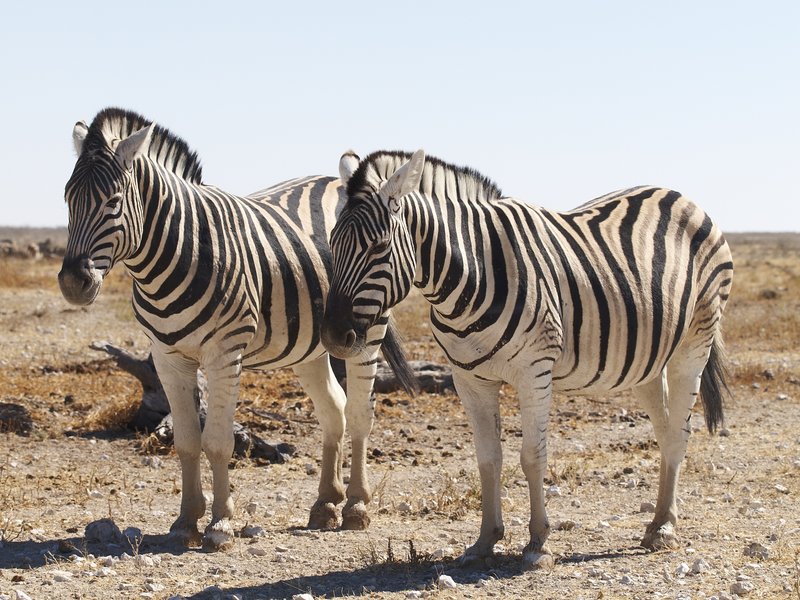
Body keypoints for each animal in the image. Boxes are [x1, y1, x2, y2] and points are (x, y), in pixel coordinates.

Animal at [58, 108, 414, 550]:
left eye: (113, 201)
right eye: (67, 198)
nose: (73, 283)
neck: (178, 252)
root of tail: (337, 180)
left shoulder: (224, 354)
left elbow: (217, 441)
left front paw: (220, 524)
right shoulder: (167, 357)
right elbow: (186, 440)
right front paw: (185, 522)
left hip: (368, 329)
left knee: (360, 412)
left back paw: (356, 508)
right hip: (309, 345)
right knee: (333, 409)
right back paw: (325, 504)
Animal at [321, 149, 733, 567]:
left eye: (379, 246)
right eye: (331, 243)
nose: (334, 337)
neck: (470, 276)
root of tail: (679, 195)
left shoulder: (535, 371)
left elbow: (533, 456)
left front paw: (538, 544)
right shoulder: (468, 379)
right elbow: (488, 458)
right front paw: (485, 540)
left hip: (695, 341)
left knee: (679, 431)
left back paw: (665, 527)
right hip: (646, 361)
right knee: (665, 430)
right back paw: (656, 523)